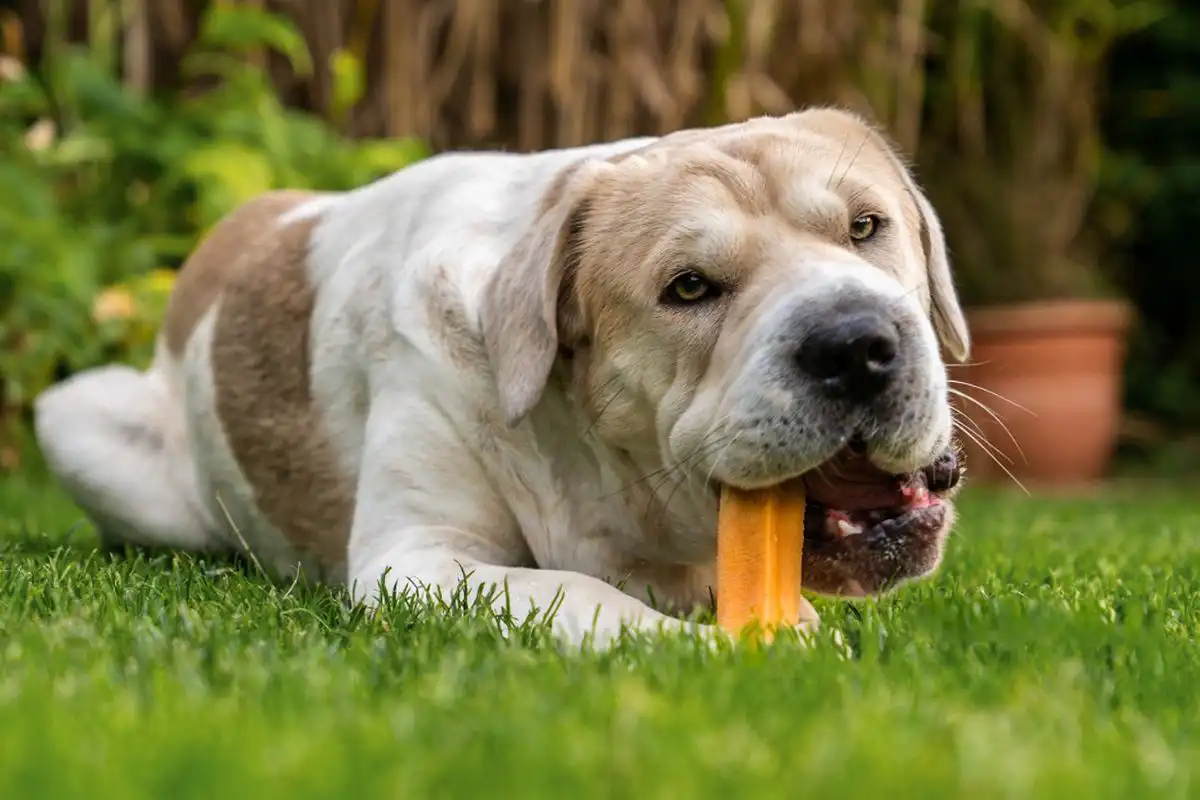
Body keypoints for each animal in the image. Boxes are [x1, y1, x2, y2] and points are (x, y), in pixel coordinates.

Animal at [35, 106, 964, 647]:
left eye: (866, 227)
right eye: (689, 288)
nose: (854, 343)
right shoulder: (418, 559)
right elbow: (580, 596)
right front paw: (707, 651)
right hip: (79, 423)